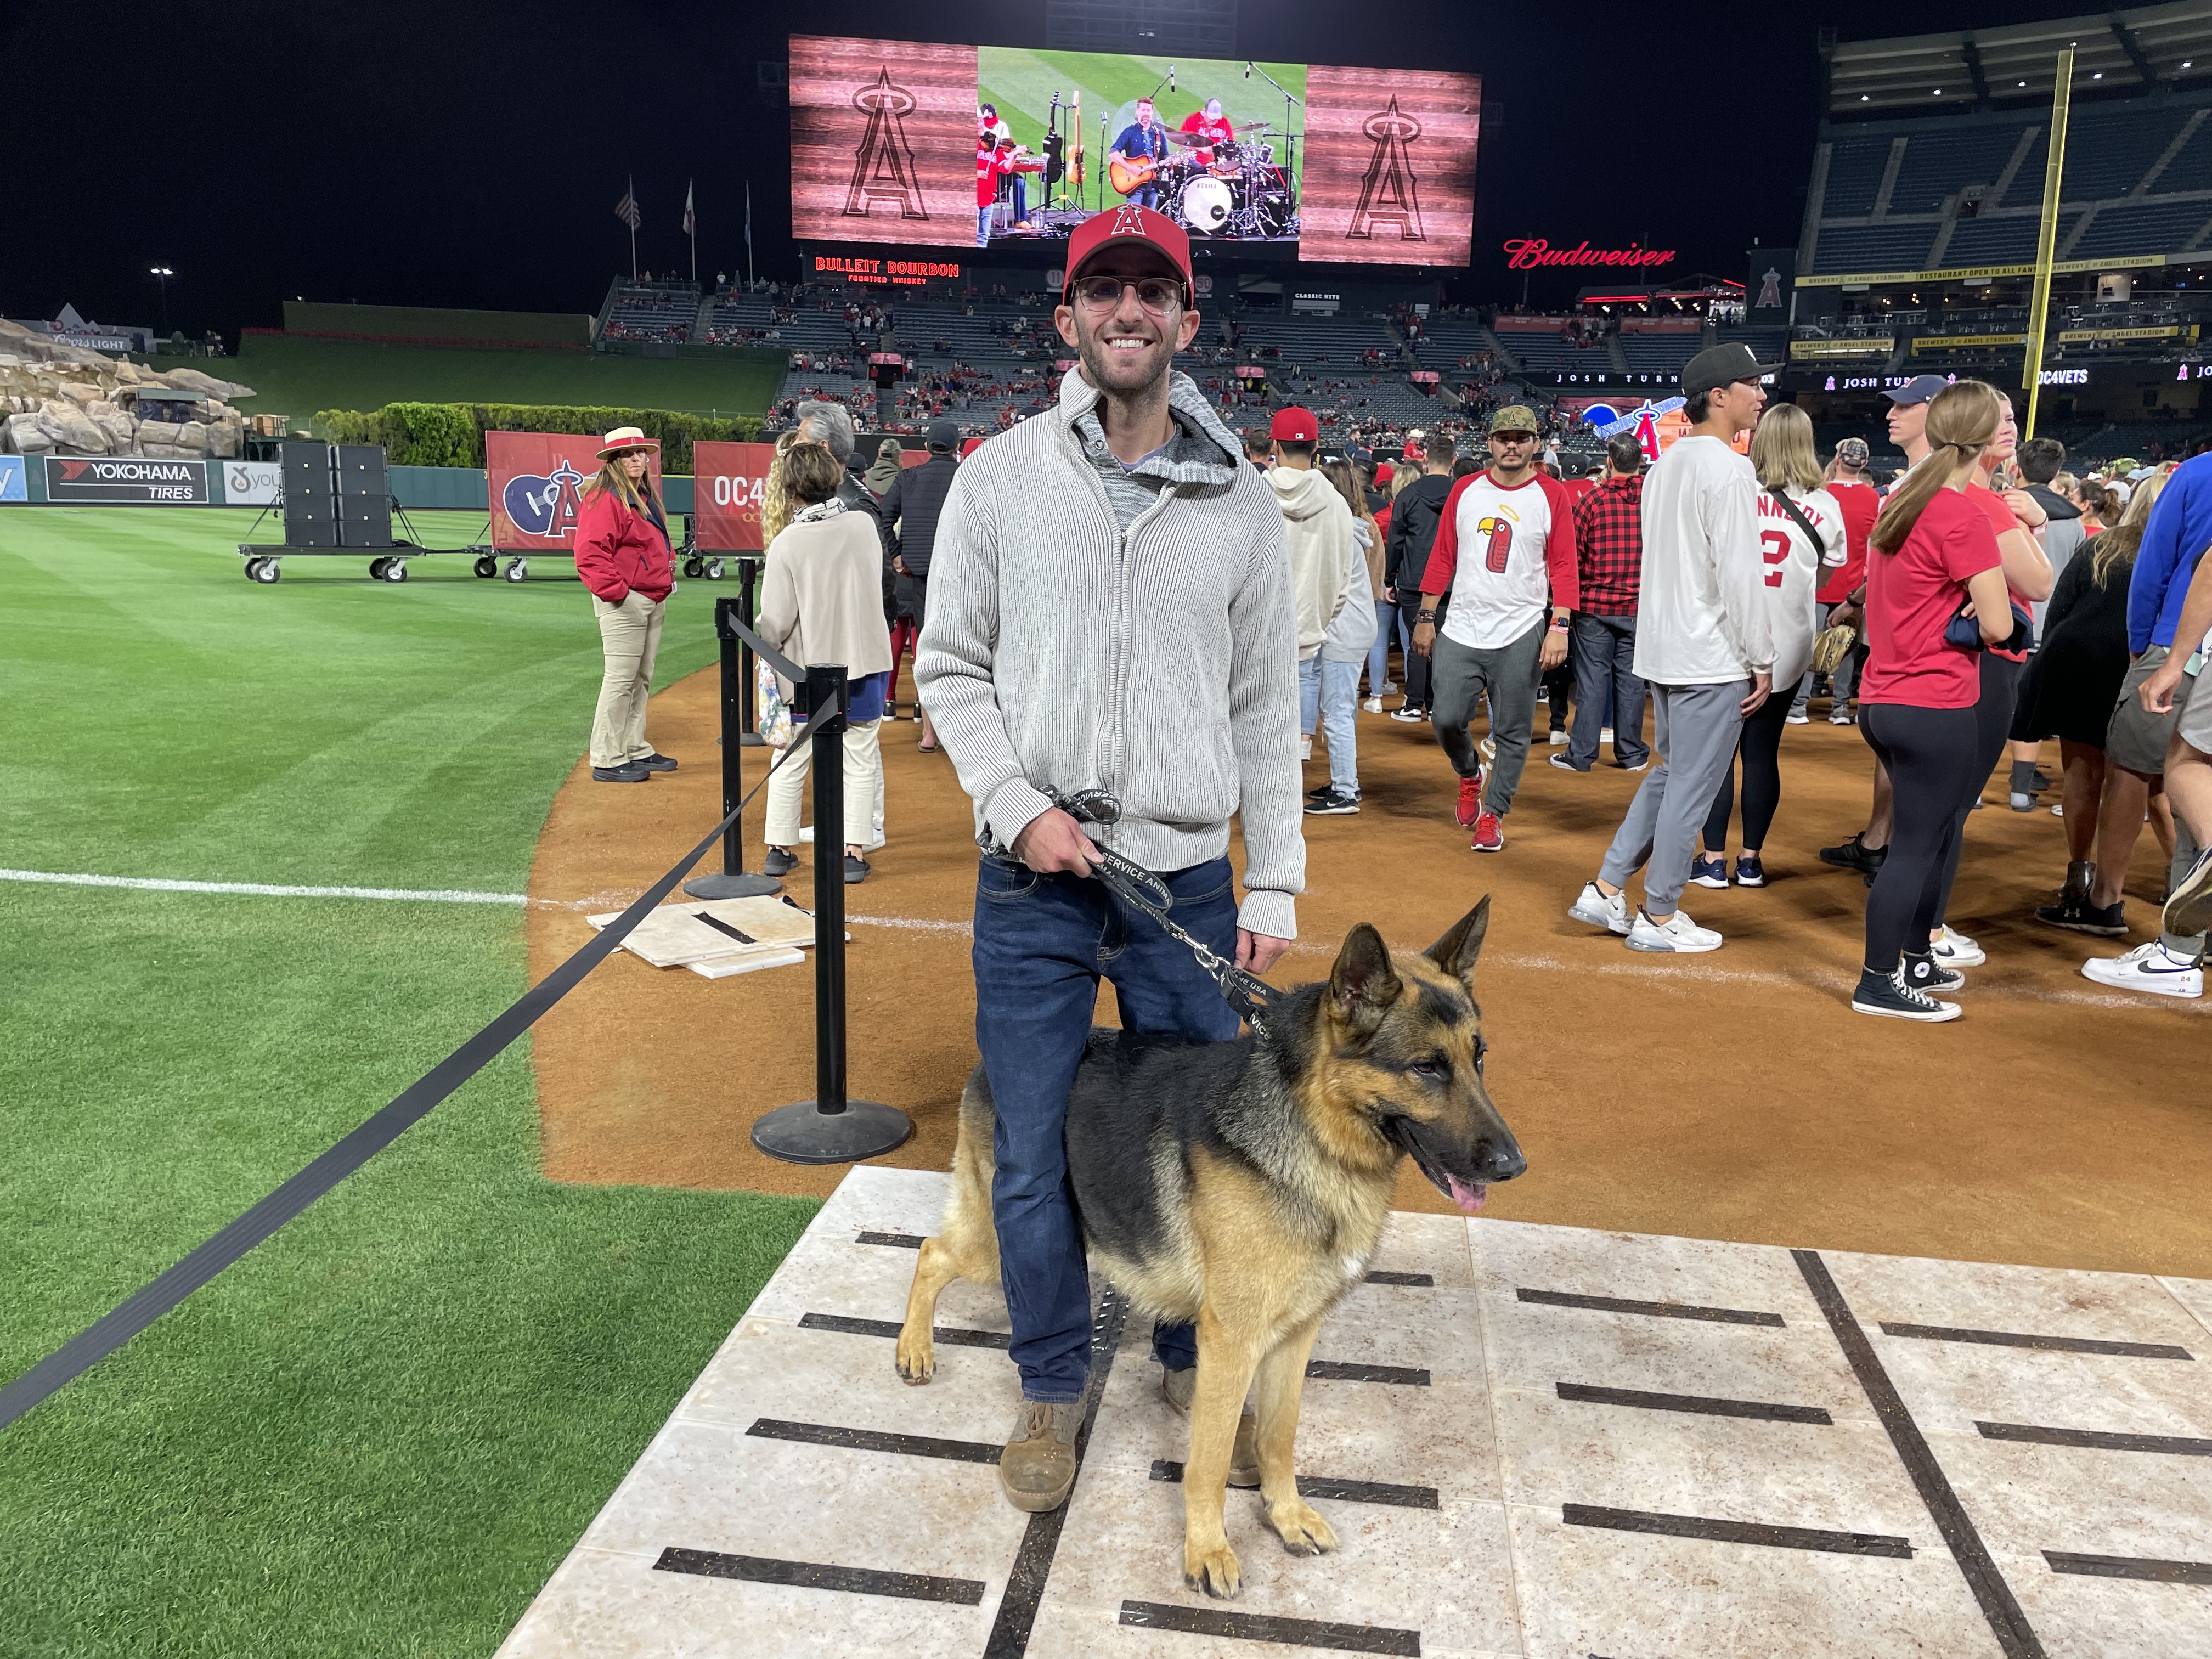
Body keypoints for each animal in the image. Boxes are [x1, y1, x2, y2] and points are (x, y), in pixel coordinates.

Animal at [894, 898, 1525, 1598]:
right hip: (999, 1238)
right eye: (1426, 1067)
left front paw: (1285, 1515)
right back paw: (915, 1349)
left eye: (1479, 1059)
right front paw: (1207, 1549)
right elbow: (1208, 1462)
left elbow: (1278, 1437)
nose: (1514, 1165)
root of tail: (986, 1069)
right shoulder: (1234, 1340)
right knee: (931, 1252)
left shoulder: (1293, 1337)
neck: (1315, 1135)